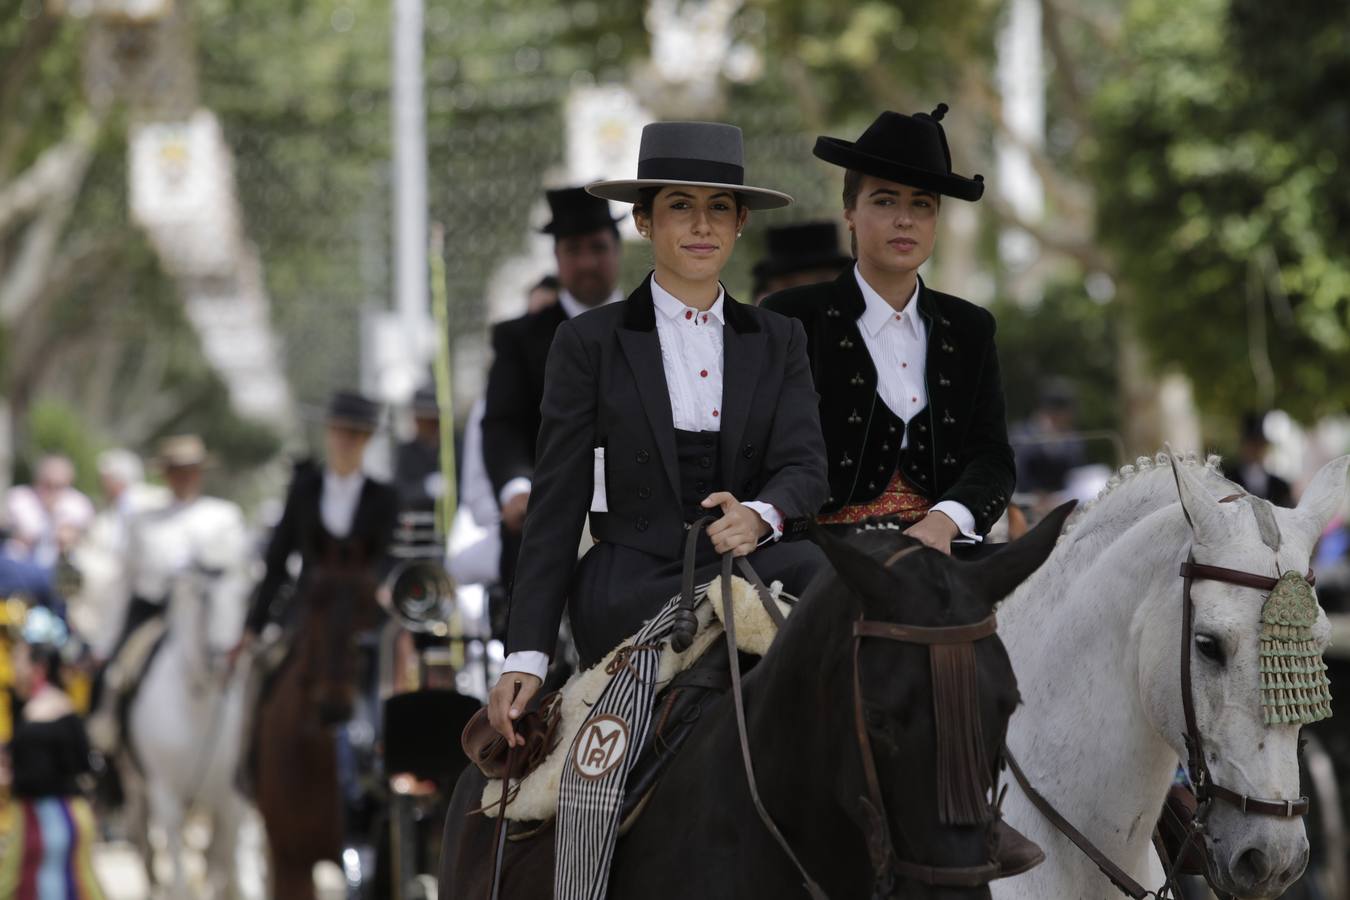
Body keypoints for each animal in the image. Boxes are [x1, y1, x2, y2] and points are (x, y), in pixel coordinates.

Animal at [127, 545, 256, 895]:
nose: (227, 658)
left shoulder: (230, 799)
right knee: (146, 844)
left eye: (246, 597)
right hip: (139, 789)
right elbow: (180, 868)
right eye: (205, 598)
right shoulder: (166, 794)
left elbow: (224, 863)